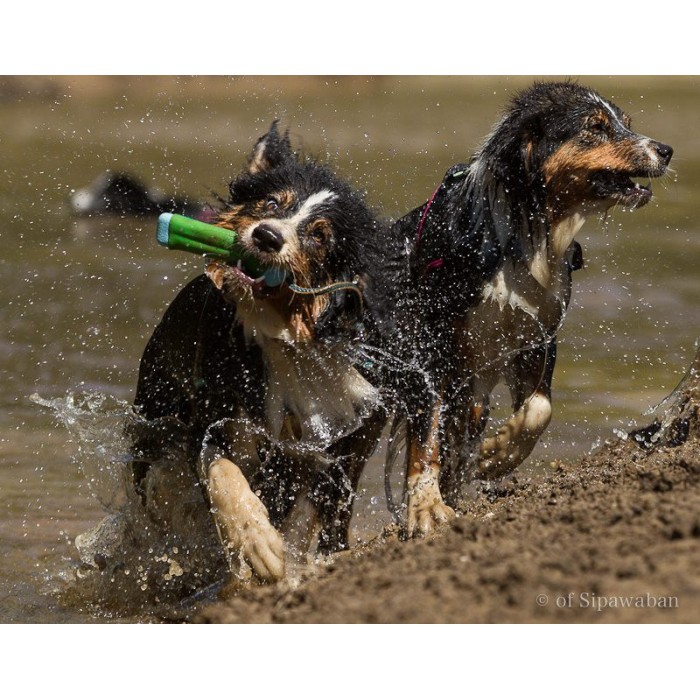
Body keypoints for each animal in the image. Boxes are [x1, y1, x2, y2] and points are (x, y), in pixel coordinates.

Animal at [133, 123, 404, 584]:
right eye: (272, 202)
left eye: (319, 235)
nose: (267, 235)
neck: (282, 334)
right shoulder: (215, 414)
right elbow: (223, 474)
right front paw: (258, 543)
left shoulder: (338, 437)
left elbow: (307, 512)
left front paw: (289, 563)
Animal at [394, 79, 672, 532]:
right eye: (595, 127)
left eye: (626, 124)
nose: (666, 150)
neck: (525, 238)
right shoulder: (433, 348)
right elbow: (425, 440)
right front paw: (426, 508)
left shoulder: (537, 337)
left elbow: (539, 409)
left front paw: (497, 455)